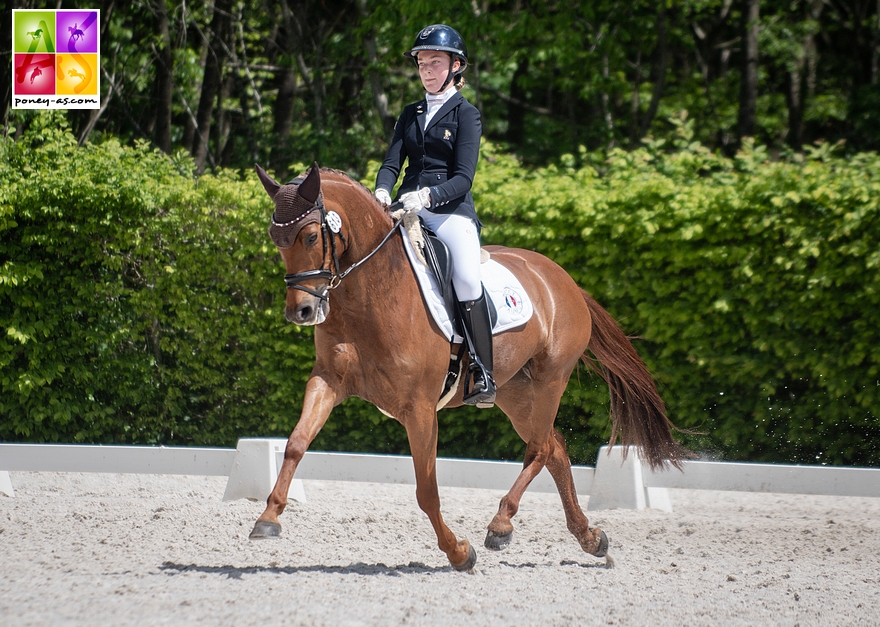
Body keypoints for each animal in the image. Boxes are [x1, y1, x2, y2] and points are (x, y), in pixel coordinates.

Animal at [248, 164, 688, 572]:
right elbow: (296, 443)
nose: (302, 311)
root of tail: (562, 278)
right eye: (275, 239)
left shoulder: (420, 408)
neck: (369, 294)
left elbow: (427, 490)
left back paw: (501, 526)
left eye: (310, 236)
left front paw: (459, 552)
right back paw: (590, 538)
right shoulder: (328, 381)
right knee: (555, 449)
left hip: (552, 378)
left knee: (539, 448)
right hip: (514, 391)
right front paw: (268, 518)